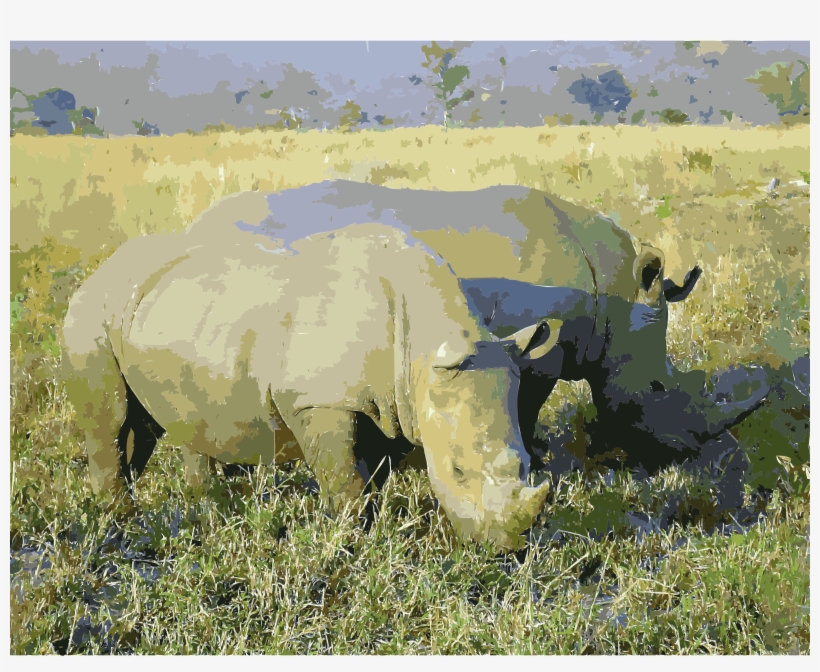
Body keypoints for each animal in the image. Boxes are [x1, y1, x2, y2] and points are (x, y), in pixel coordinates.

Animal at [61, 221, 557, 549]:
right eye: (456, 470)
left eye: (527, 463)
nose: (504, 548)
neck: (421, 346)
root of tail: (97, 270)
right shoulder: (321, 401)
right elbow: (344, 478)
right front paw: (352, 539)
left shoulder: (391, 406)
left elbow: (372, 474)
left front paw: (368, 529)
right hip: (91, 313)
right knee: (112, 422)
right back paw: (121, 523)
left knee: (154, 424)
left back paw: (204, 505)